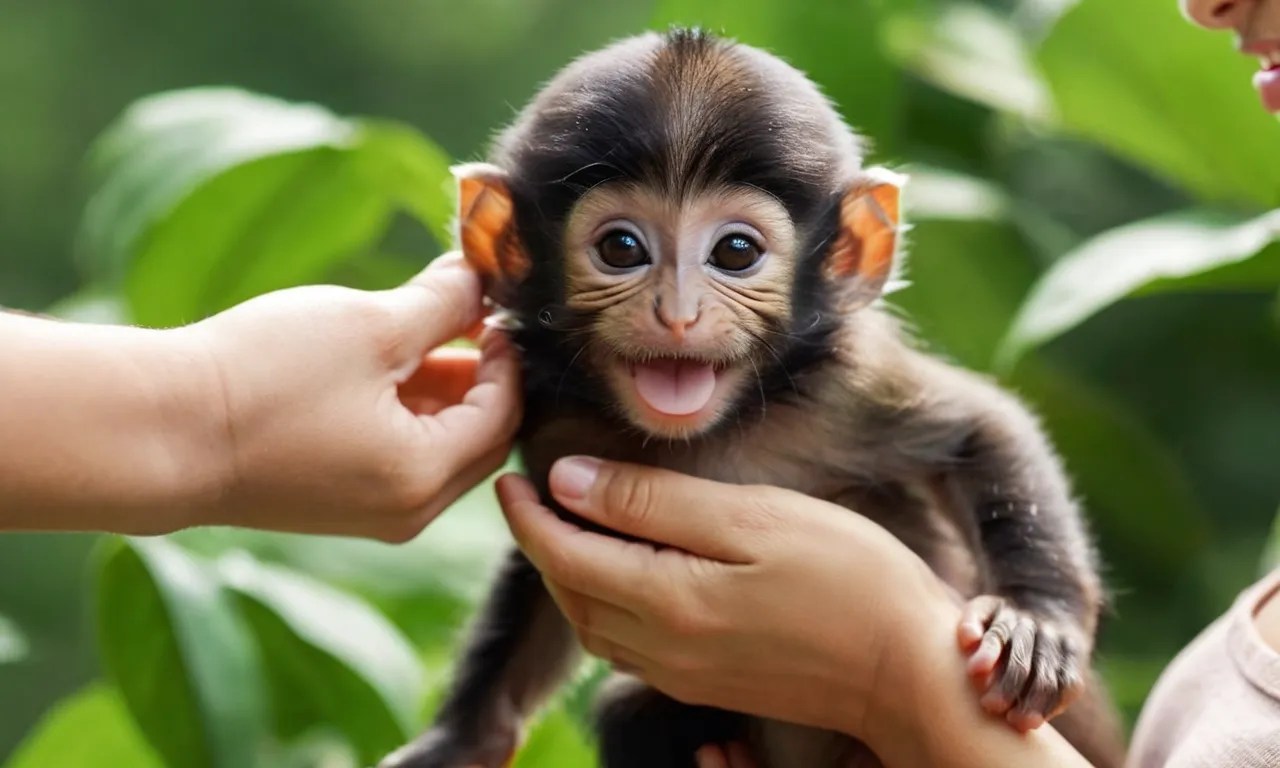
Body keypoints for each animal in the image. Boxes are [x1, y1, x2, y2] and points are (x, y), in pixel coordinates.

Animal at [379, 29, 1127, 768]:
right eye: (621, 247)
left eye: (736, 251)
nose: (678, 313)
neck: (716, 431)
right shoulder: (558, 423)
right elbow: (538, 584)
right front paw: (461, 742)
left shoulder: (850, 386)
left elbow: (984, 427)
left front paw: (1036, 620)